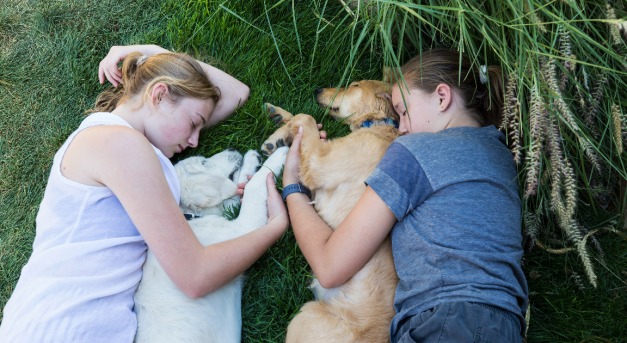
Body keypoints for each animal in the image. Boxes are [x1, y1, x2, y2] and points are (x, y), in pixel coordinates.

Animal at [135, 147, 290, 343]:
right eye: (203, 162)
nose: (232, 148)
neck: (189, 218)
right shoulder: (241, 231)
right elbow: (253, 188)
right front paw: (278, 157)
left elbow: (238, 191)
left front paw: (251, 161)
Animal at [262, 79, 400, 342]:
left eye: (354, 84)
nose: (316, 89)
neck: (377, 124)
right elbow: (305, 122)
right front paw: (280, 123)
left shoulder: (320, 163)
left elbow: (305, 117)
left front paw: (280, 132)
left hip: (306, 315)